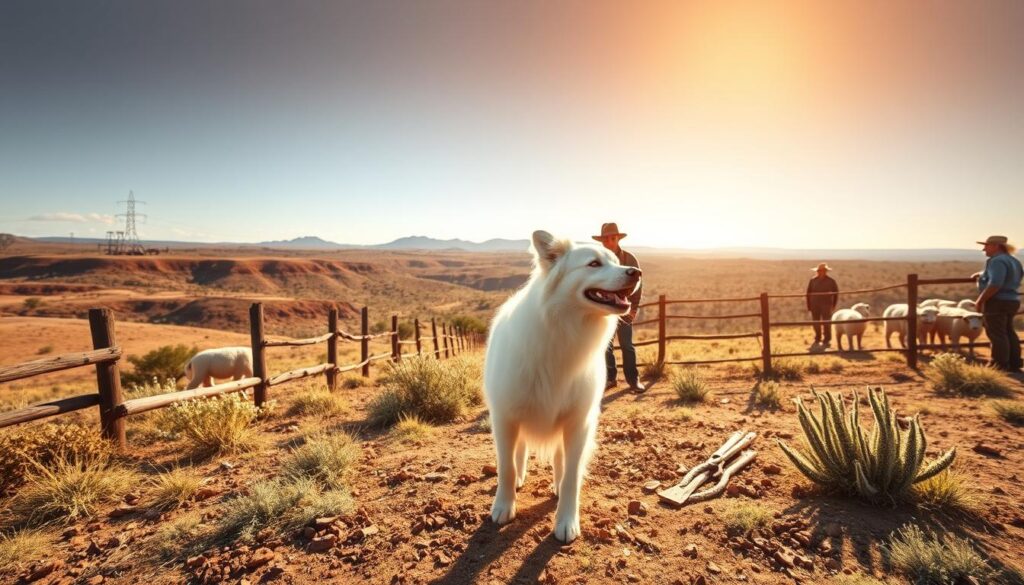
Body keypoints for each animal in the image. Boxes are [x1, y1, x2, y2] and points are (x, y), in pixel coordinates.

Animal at [481, 230, 638, 545]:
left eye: (617, 261)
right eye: (594, 264)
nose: (636, 272)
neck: (563, 331)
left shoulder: (578, 423)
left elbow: (571, 476)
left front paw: (566, 521)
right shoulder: (504, 416)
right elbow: (505, 466)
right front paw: (504, 505)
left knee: (558, 459)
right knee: (518, 451)